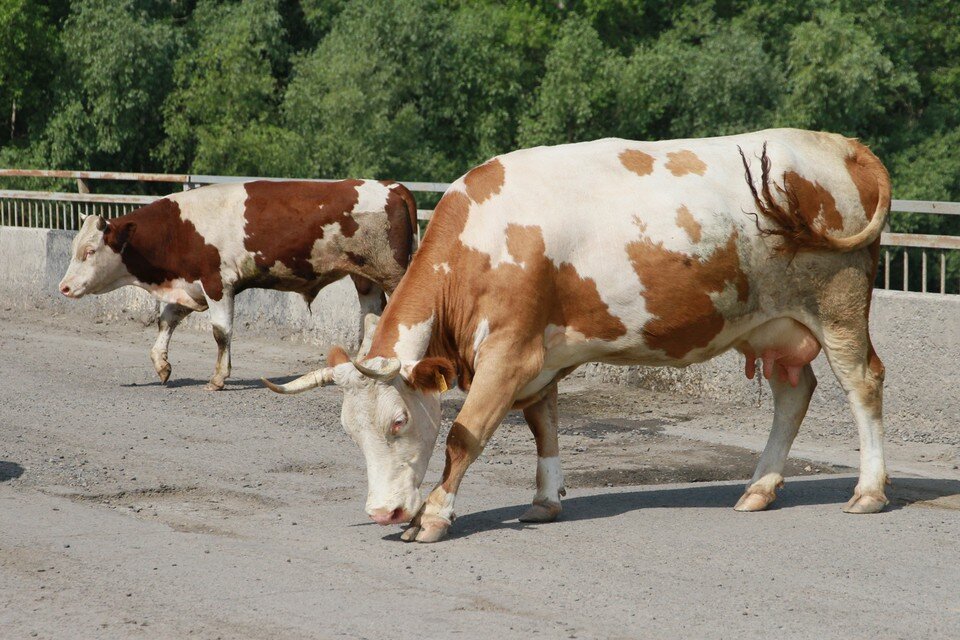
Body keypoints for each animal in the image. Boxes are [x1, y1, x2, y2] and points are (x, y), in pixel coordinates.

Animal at [60, 180, 416, 390]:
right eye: (74, 246)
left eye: (89, 251)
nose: (63, 287)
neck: (180, 228)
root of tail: (391, 185)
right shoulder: (190, 285)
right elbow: (166, 320)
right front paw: (161, 364)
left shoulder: (218, 283)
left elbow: (221, 332)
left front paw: (218, 378)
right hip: (365, 278)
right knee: (372, 318)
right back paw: (365, 365)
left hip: (392, 272)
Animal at [264, 129, 892, 540]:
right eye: (350, 431)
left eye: (398, 422)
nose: (383, 514)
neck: (480, 241)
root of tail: (836, 142)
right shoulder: (539, 355)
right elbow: (544, 425)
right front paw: (544, 502)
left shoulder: (509, 352)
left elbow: (466, 435)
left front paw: (434, 514)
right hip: (771, 324)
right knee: (794, 392)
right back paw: (759, 488)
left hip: (837, 303)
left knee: (862, 383)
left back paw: (868, 491)